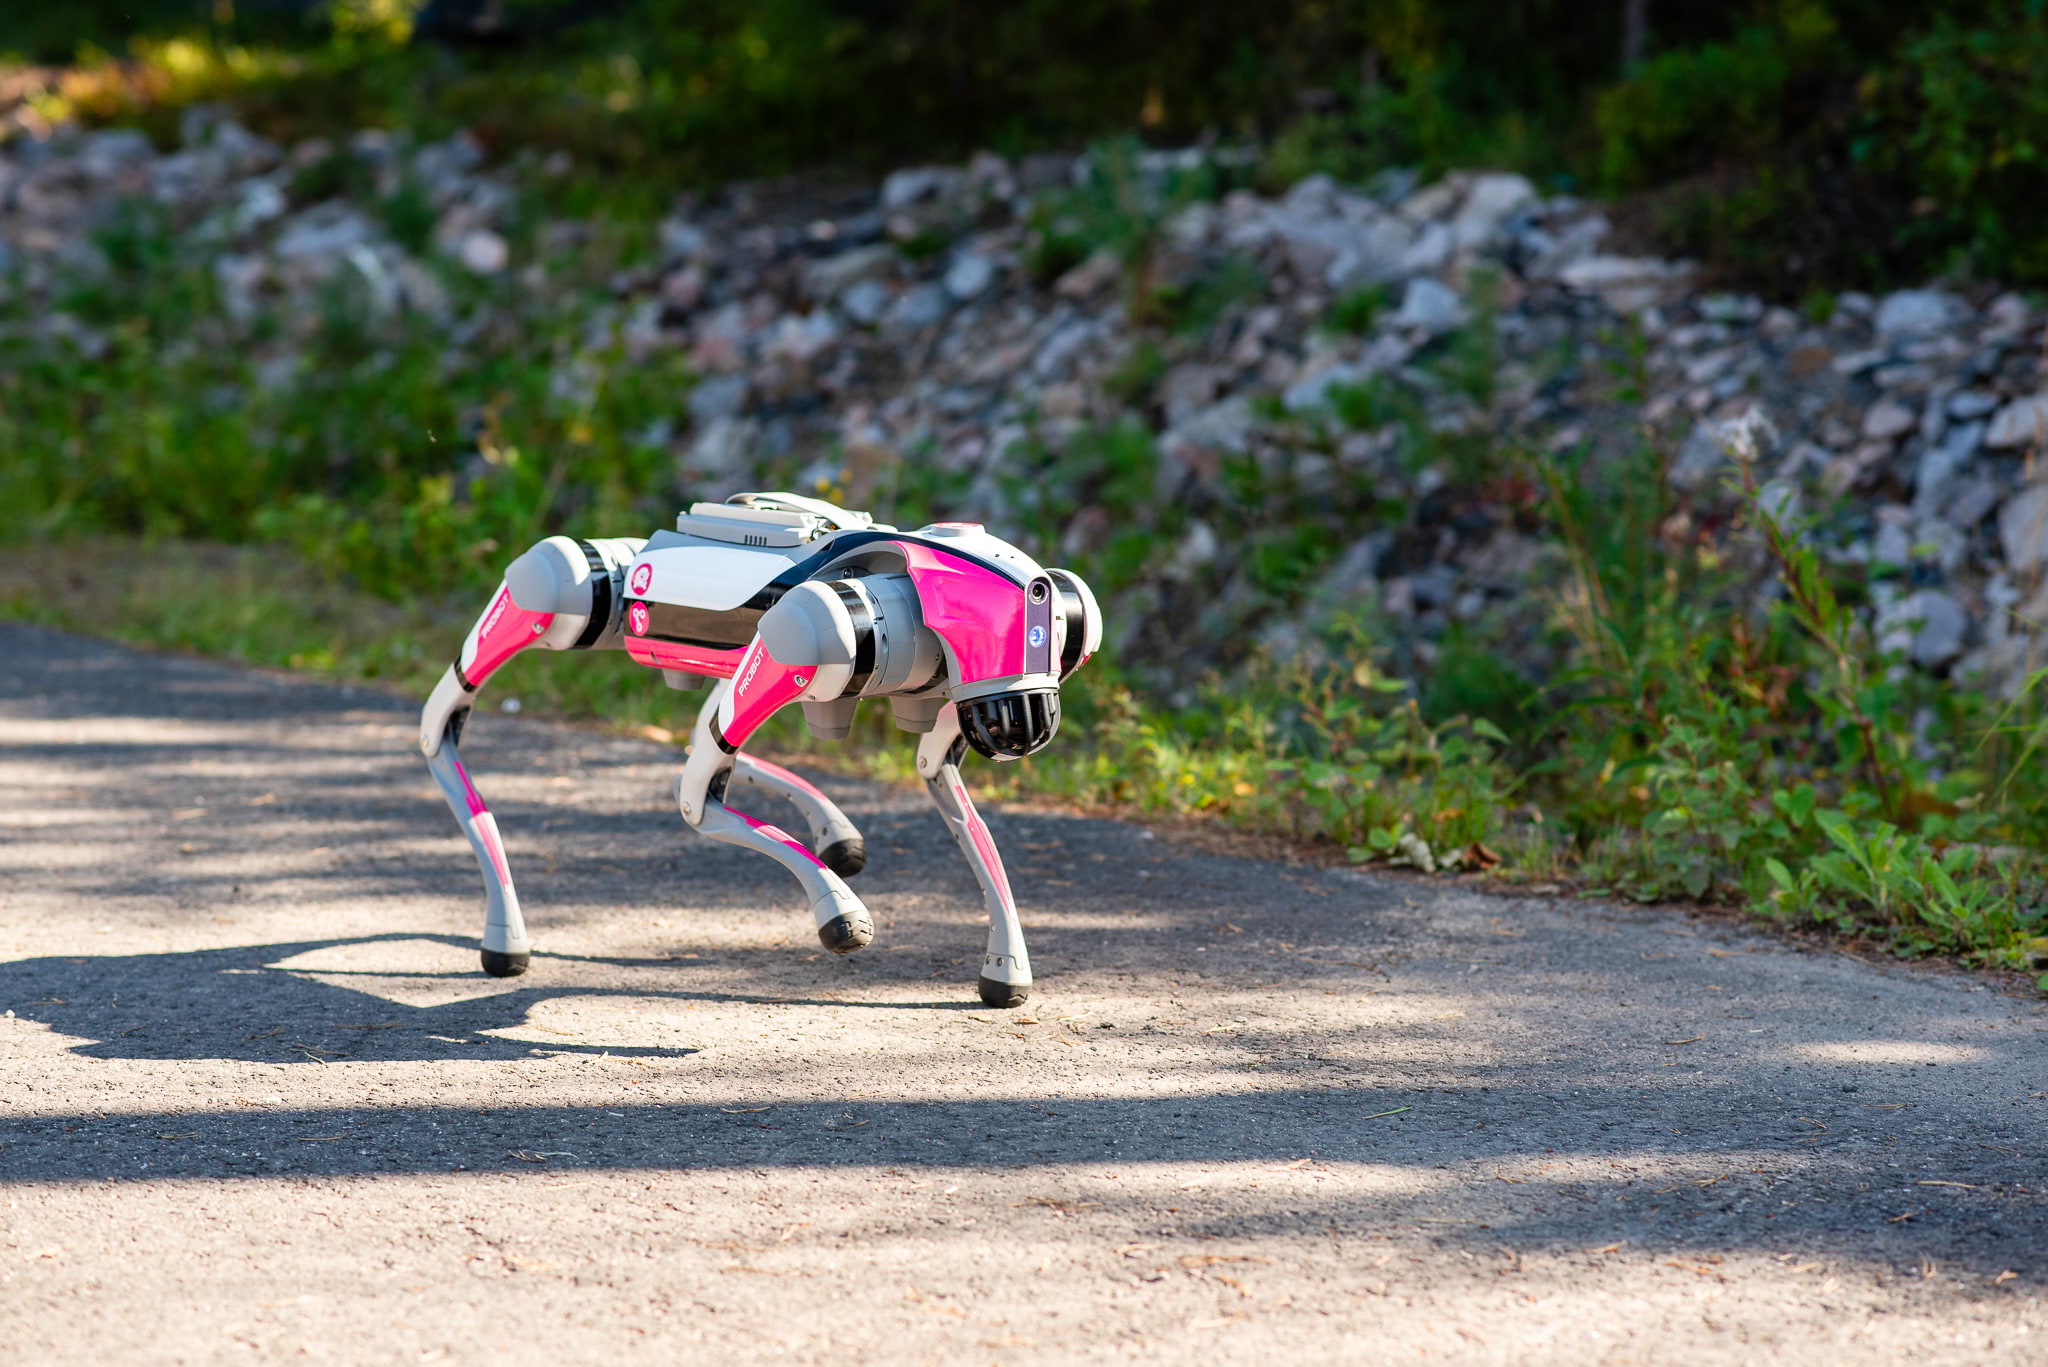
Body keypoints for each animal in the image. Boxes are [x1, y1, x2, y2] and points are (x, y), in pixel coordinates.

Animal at [407, 491, 1097, 1004]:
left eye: (1065, 638)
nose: (1024, 728)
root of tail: (647, 550)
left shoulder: (937, 704)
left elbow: (936, 776)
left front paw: (1006, 970)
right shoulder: (813, 625)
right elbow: (697, 802)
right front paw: (841, 914)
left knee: (696, 734)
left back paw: (836, 830)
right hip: (570, 597)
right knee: (445, 712)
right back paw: (505, 936)